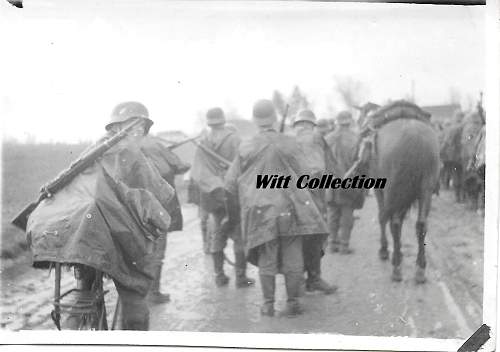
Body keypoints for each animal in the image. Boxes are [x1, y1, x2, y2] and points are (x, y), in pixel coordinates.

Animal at [362, 101, 440, 284]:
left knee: (394, 223)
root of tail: (414, 138)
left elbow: (383, 217)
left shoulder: (380, 189)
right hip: (425, 188)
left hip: (393, 189)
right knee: (421, 224)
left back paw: (396, 265)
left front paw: (384, 249)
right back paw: (420, 268)